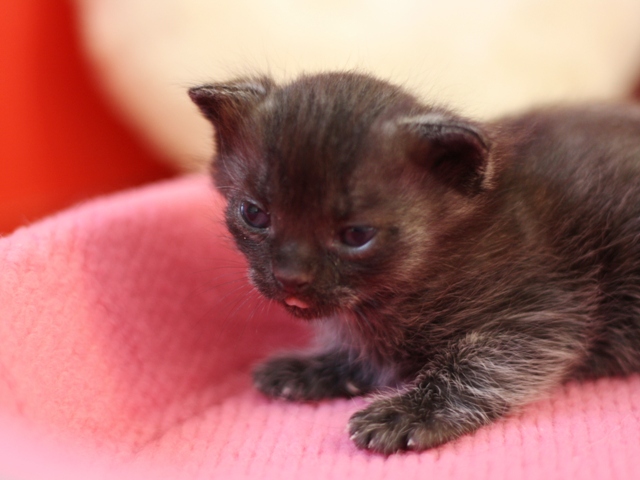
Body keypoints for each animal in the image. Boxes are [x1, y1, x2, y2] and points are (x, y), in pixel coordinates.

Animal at [189, 71, 640, 454]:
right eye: (253, 214)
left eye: (357, 235)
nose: (289, 276)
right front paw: (314, 368)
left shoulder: (543, 309)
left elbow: (486, 361)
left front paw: (410, 412)